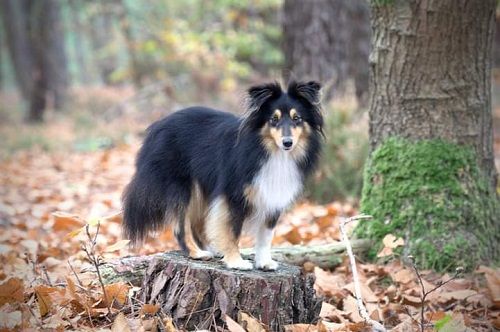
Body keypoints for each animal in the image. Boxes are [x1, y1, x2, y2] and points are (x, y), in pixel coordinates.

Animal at [122, 80, 322, 270]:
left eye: (297, 118)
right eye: (274, 119)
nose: (287, 143)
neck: (268, 150)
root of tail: (157, 126)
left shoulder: (273, 195)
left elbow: (266, 234)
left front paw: (264, 262)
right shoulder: (234, 195)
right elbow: (232, 230)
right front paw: (236, 262)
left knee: (197, 224)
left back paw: (213, 250)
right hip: (182, 185)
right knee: (181, 226)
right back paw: (197, 253)